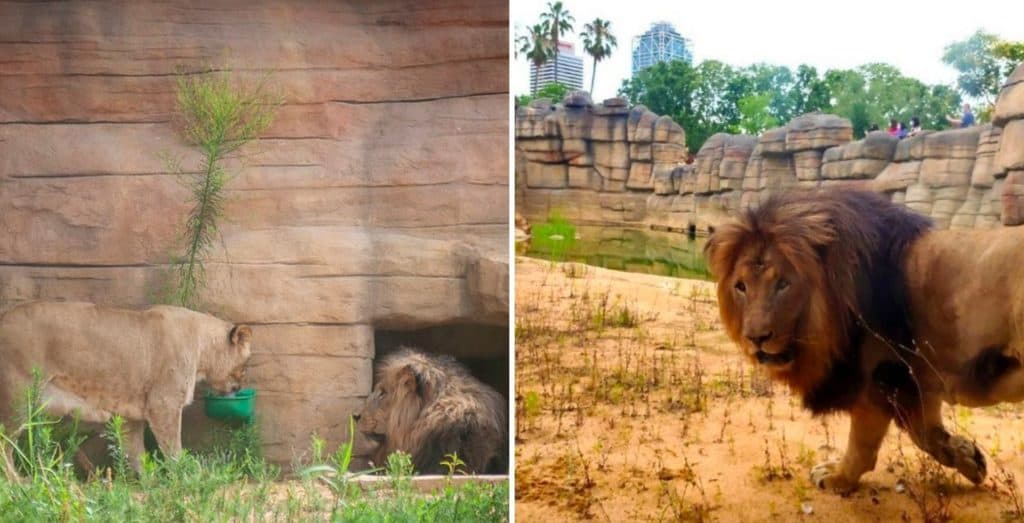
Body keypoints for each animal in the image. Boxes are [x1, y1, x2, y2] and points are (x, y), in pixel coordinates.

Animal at [0, 301, 252, 477]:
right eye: (246, 363)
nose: (239, 386)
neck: (202, 349)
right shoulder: (164, 404)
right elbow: (173, 448)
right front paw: (184, 477)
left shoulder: (131, 417)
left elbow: (136, 453)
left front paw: (149, 482)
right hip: (18, 398)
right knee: (5, 445)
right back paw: (18, 484)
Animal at [705, 188, 1006, 493]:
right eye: (741, 286)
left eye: (783, 284)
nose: (756, 338)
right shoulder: (916, 383)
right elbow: (928, 436)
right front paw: (969, 458)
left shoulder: (879, 381)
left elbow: (862, 445)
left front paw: (837, 478)